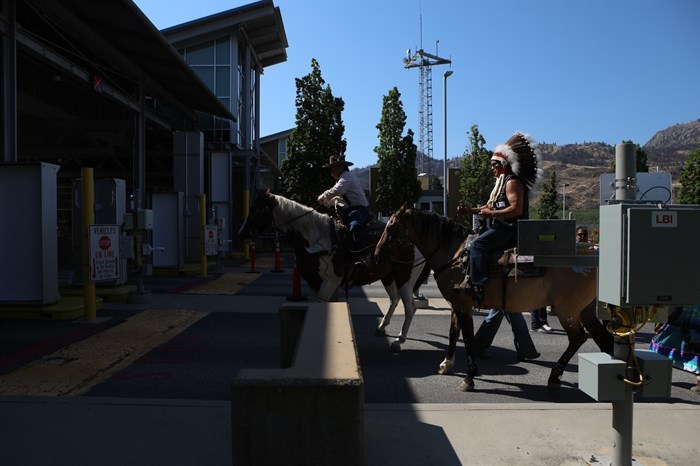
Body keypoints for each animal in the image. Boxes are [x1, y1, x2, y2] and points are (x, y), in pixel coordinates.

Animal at [238, 191, 430, 352]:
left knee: (410, 307)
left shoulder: (329, 282)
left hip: (405, 277)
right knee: (394, 299)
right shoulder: (313, 282)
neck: (316, 238)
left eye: (254, 210)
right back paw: (382, 327)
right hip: (388, 276)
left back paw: (399, 340)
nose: (241, 234)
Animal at [372, 206, 612, 392]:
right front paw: (446, 365)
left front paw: (469, 378)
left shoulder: (464, 306)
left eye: (390, 228)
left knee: (578, 338)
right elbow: (453, 334)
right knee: (602, 338)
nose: (376, 255)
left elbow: (468, 339)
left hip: (567, 310)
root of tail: (594, 254)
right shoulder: (455, 305)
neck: (455, 254)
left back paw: (554, 377)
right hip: (586, 310)